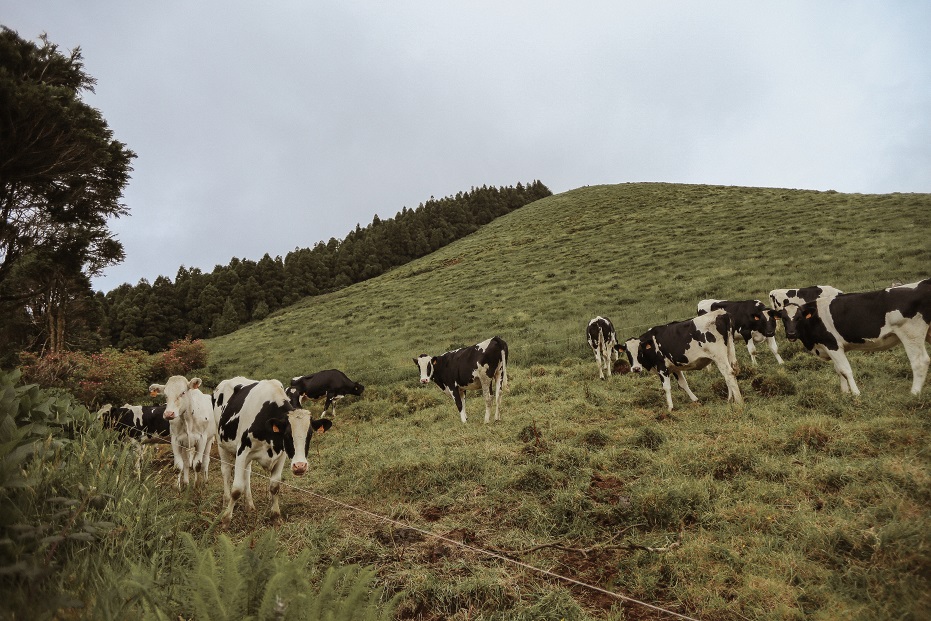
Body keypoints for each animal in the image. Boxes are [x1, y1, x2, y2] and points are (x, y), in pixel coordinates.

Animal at [215, 378, 332, 524]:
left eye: (310, 434)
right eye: (287, 434)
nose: (300, 466)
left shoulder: (281, 455)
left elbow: (275, 486)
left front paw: (276, 517)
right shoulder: (242, 451)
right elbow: (236, 489)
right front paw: (226, 519)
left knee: (247, 473)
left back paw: (250, 506)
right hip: (221, 443)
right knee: (225, 471)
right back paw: (224, 505)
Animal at [780, 278, 931, 394]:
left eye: (799, 318)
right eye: (783, 318)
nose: (791, 334)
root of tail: (923, 283)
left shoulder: (832, 344)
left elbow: (845, 370)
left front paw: (856, 393)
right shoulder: (832, 348)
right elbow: (839, 370)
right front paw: (845, 393)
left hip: (911, 334)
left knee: (920, 362)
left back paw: (914, 393)